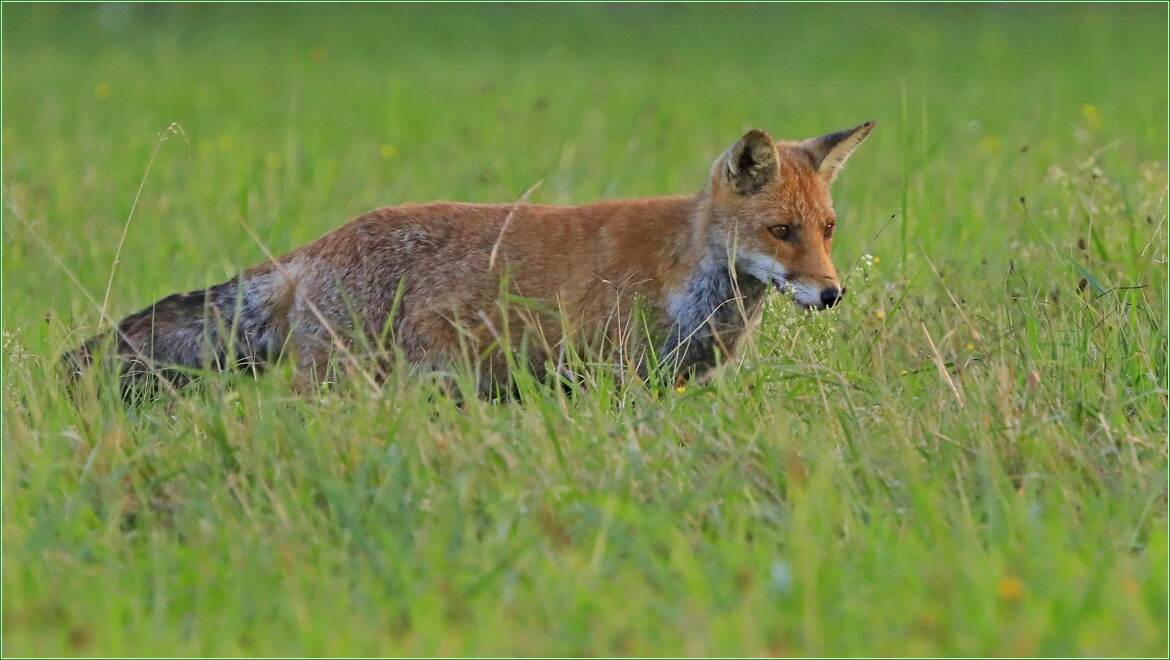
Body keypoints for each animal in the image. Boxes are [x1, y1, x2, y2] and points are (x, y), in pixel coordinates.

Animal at [61, 121, 870, 400]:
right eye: (781, 231)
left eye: (828, 230)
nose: (831, 292)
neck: (687, 278)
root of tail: (314, 247)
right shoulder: (610, 379)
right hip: (343, 385)